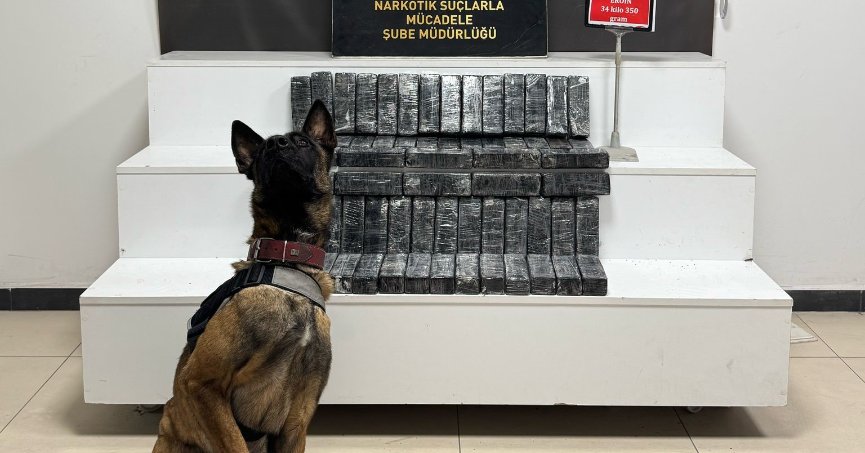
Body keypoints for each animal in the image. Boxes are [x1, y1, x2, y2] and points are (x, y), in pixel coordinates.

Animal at [153, 100, 337, 453]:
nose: (277, 145)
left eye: (302, 142)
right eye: (263, 151)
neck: (287, 261)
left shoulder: (297, 423)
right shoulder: (201, 384)